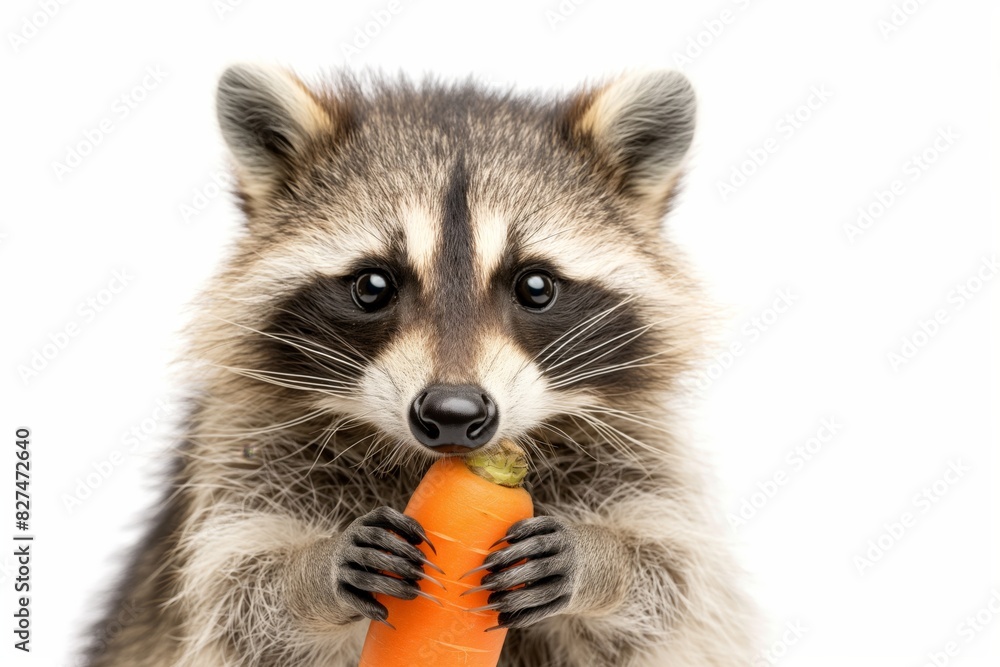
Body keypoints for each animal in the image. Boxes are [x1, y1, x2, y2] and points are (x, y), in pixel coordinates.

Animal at [83, 65, 757, 666]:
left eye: (536, 286)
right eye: (372, 285)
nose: (454, 412)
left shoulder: (642, 449)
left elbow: (670, 586)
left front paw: (602, 561)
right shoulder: (244, 449)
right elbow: (243, 599)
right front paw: (310, 572)